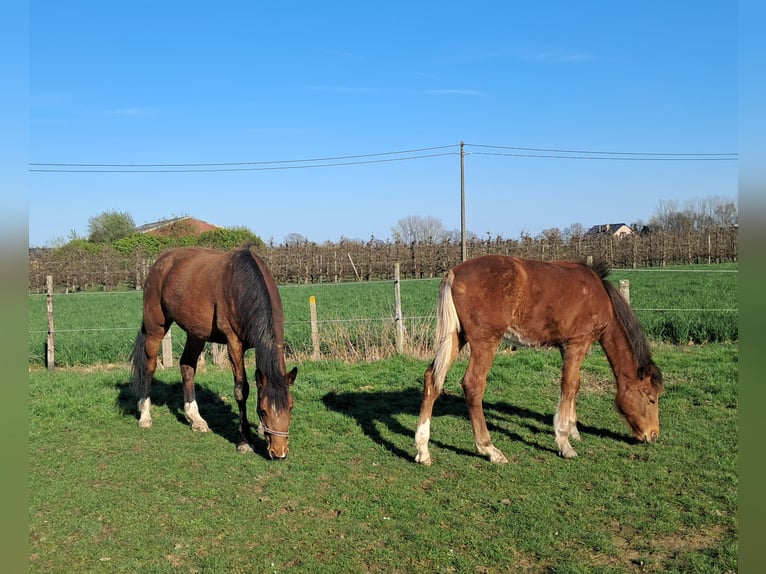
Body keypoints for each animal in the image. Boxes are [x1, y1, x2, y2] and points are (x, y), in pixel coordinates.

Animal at [130, 245, 298, 459]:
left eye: (290, 408)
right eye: (263, 411)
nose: (279, 452)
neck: (242, 284)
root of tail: (160, 262)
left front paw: (260, 429)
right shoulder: (234, 344)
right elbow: (241, 390)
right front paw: (245, 441)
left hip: (196, 333)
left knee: (187, 366)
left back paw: (195, 419)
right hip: (156, 328)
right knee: (149, 367)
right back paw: (145, 416)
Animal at [415, 255, 664, 465]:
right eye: (651, 399)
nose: (653, 435)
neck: (599, 295)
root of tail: (454, 273)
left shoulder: (567, 347)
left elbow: (576, 385)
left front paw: (573, 429)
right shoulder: (577, 344)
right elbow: (568, 385)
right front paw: (564, 442)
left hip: (456, 337)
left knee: (432, 380)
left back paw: (422, 450)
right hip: (485, 342)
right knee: (473, 385)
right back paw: (489, 449)